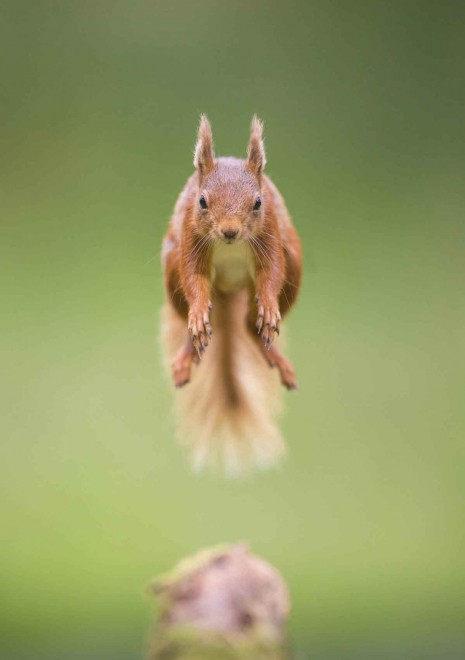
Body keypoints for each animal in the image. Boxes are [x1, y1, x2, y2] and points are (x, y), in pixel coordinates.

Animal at [161, 115, 302, 474]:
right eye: (201, 201)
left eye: (258, 202)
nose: (229, 232)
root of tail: (228, 291)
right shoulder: (190, 239)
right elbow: (194, 279)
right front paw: (198, 313)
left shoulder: (271, 234)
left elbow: (271, 275)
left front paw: (269, 304)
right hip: (171, 268)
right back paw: (189, 350)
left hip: (294, 266)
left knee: (251, 324)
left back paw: (272, 352)